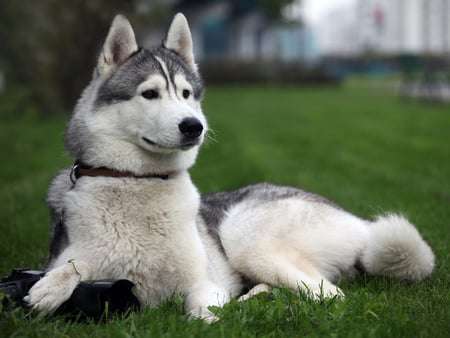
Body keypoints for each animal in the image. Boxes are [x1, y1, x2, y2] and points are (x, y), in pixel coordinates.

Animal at [25, 12, 436, 320]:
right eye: (149, 93)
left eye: (186, 94)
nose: (194, 126)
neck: (137, 181)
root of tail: (358, 221)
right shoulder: (73, 253)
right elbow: (72, 264)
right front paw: (50, 287)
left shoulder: (203, 283)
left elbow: (199, 315)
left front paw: (211, 319)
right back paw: (256, 298)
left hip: (244, 235)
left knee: (329, 295)